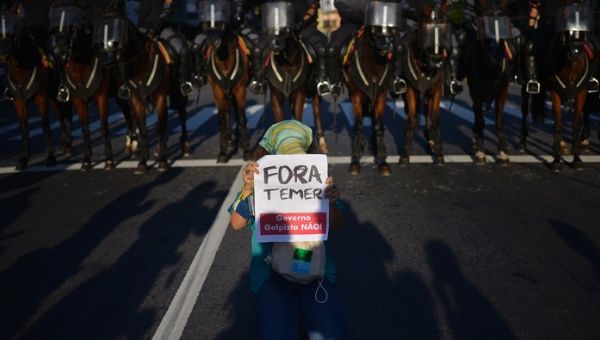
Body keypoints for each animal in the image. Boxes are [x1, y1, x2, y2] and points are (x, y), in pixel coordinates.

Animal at [0, 8, 72, 170]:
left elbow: (44, 125)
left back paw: (69, 144)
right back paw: (65, 144)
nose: (3, 53)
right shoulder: (19, 102)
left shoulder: (41, 98)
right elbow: (24, 128)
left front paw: (50, 157)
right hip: (53, 98)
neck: (22, 69)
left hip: (58, 95)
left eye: (15, 28)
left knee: (67, 115)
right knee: (61, 116)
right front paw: (23, 159)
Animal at [49, 3, 136, 170]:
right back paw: (130, 144)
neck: (81, 66)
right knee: (128, 114)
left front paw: (109, 159)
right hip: (118, 95)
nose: (59, 50)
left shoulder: (101, 97)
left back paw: (134, 143)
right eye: (54, 26)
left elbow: (104, 127)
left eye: (73, 26)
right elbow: (85, 129)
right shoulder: (78, 100)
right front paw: (86, 160)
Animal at [404, 1, 450, 166]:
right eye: (426, 33)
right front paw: (405, 155)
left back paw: (431, 140)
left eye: (444, 32)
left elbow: (435, 119)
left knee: (428, 113)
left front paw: (439, 154)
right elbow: (411, 119)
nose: (437, 61)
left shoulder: (435, 92)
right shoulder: (411, 91)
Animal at [520, 1, 596, 170]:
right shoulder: (555, 93)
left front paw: (576, 158)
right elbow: (558, 125)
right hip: (525, 87)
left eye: (582, 32)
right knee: (524, 111)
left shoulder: (582, 93)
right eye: (567, 31)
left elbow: (576, 123)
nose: (575, 52)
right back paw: (522, 143)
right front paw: (556, 160)